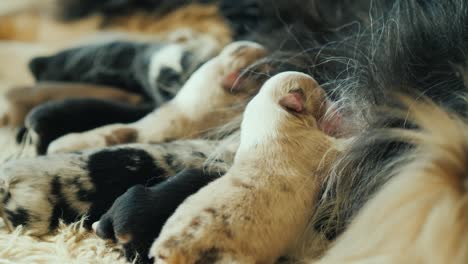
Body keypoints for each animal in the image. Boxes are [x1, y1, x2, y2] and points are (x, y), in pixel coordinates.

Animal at [150, 71, 340, 264]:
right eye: (320, 96)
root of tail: (170, 252)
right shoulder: (318, 147)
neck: (270, 111)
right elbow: (338, 147)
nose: (333, 102)